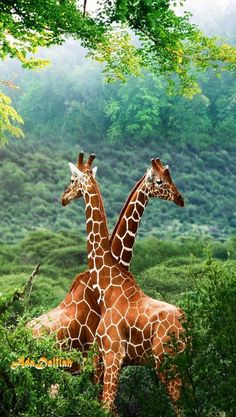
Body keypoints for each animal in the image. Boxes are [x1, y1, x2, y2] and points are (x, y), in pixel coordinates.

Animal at [61, 153, 187, 416]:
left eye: (72, 179)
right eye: (160, 180)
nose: (64, 197)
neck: (108, 282)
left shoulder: (111, 355)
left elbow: (106, 407)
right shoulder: (103, 358)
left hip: (167, 363)